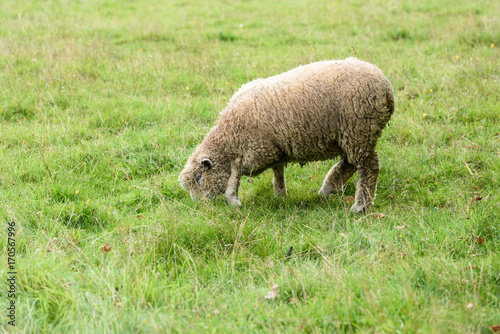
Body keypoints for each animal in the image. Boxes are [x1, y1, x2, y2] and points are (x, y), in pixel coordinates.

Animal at [180, 57, 394, 213]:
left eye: (199, 178)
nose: (199, 207)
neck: (230, 133)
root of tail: (386, 86)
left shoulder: (258, 151)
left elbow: (236, 171)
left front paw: (232, 198)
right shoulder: (275, 151)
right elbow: (278, 173)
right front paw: (280, 196)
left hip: (359, 129)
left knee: (368, 167)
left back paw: (360, 206)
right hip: (351, 135)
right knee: (349, 162)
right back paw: (328, 188)